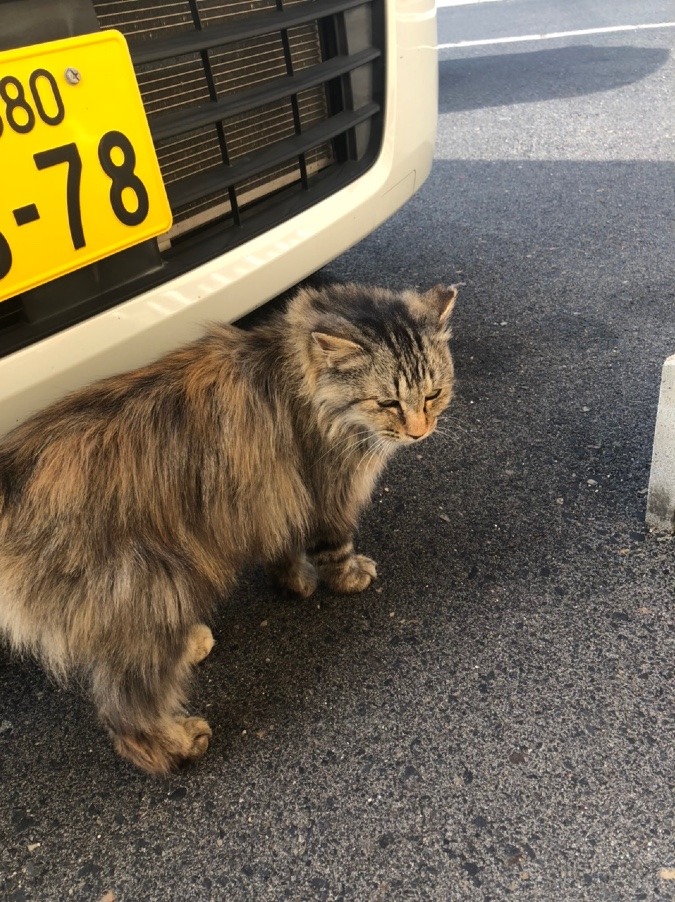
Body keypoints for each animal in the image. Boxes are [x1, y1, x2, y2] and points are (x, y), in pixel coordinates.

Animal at [0, 282, 460, 776]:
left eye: (433, 394)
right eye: (387, 402)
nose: (419, 432)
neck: (301, 379)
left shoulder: (274, 500)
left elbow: (284, 550)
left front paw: (294, 583)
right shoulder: (329, 496)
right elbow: (335, 549)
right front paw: (349, 577)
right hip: (154, 586)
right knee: (128, 710)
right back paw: (178, 744)